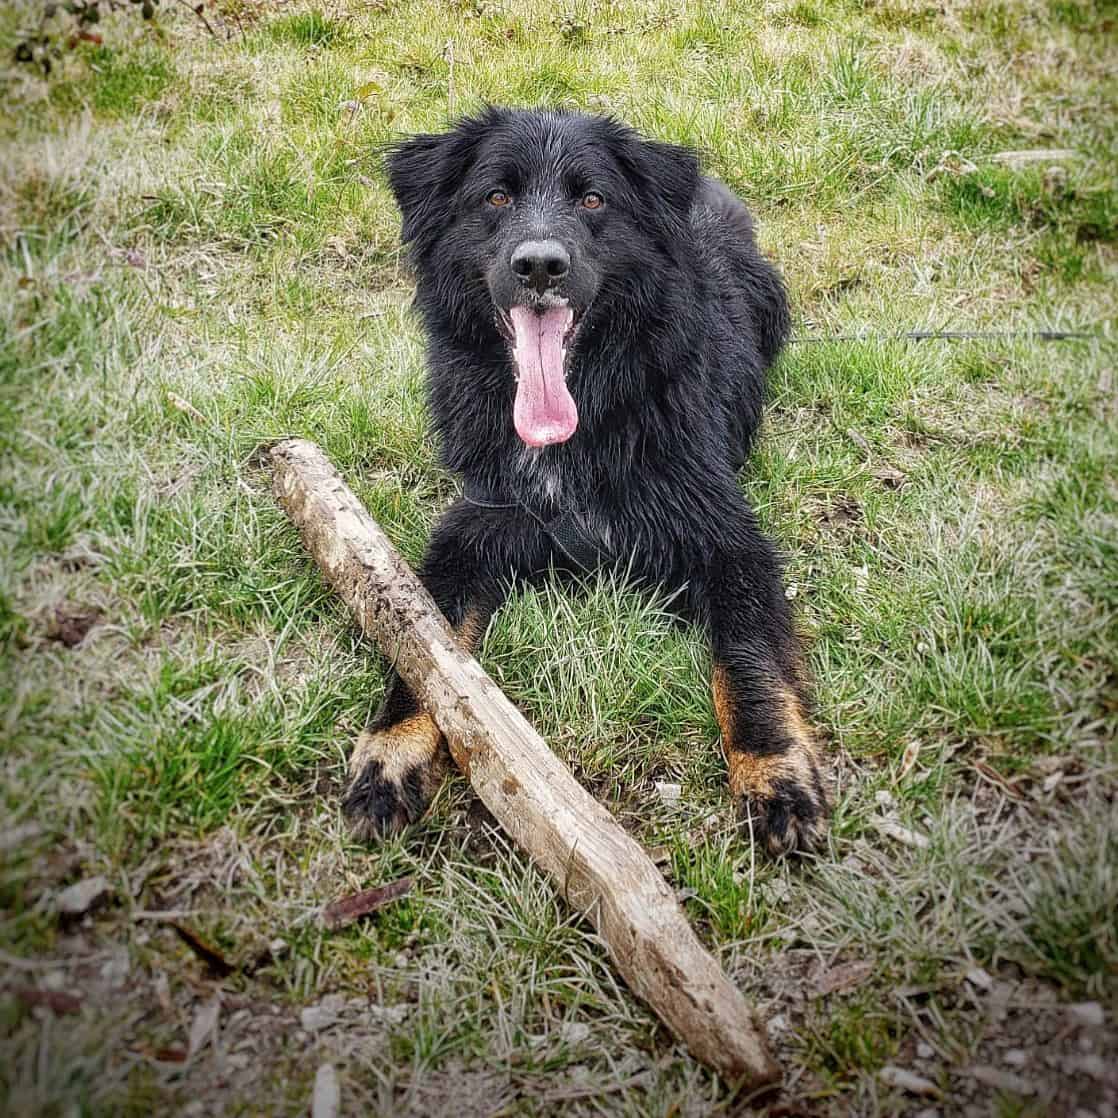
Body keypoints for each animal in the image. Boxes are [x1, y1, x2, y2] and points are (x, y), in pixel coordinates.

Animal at [348, 106, 831, 854]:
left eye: (593, 200)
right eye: (496, 196)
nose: (541, 265)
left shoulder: (729, 541)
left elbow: (749, 658)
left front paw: (776, 772)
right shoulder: (474, 526)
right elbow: (426, 653)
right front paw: (391, 751)